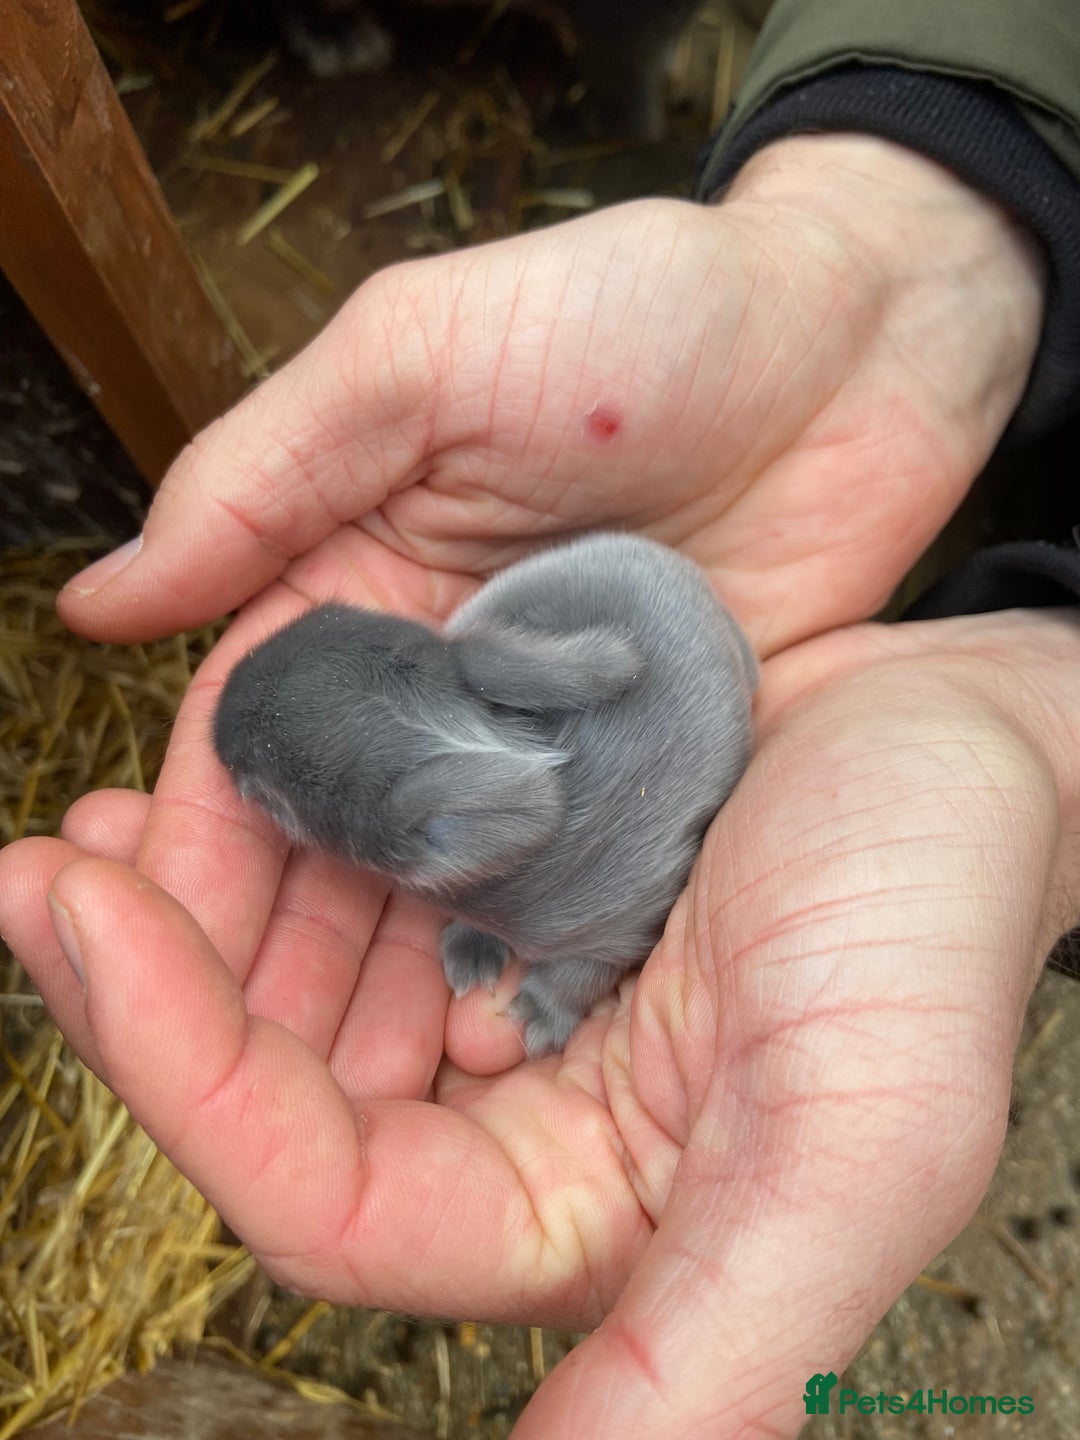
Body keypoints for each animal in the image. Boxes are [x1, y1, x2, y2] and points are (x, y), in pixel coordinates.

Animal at [213, 532, 757, 1055]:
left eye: (272, 802)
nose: (215, 727)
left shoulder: (624, 922)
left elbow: (579, 974)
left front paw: (535, 1019)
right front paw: (470, 959)